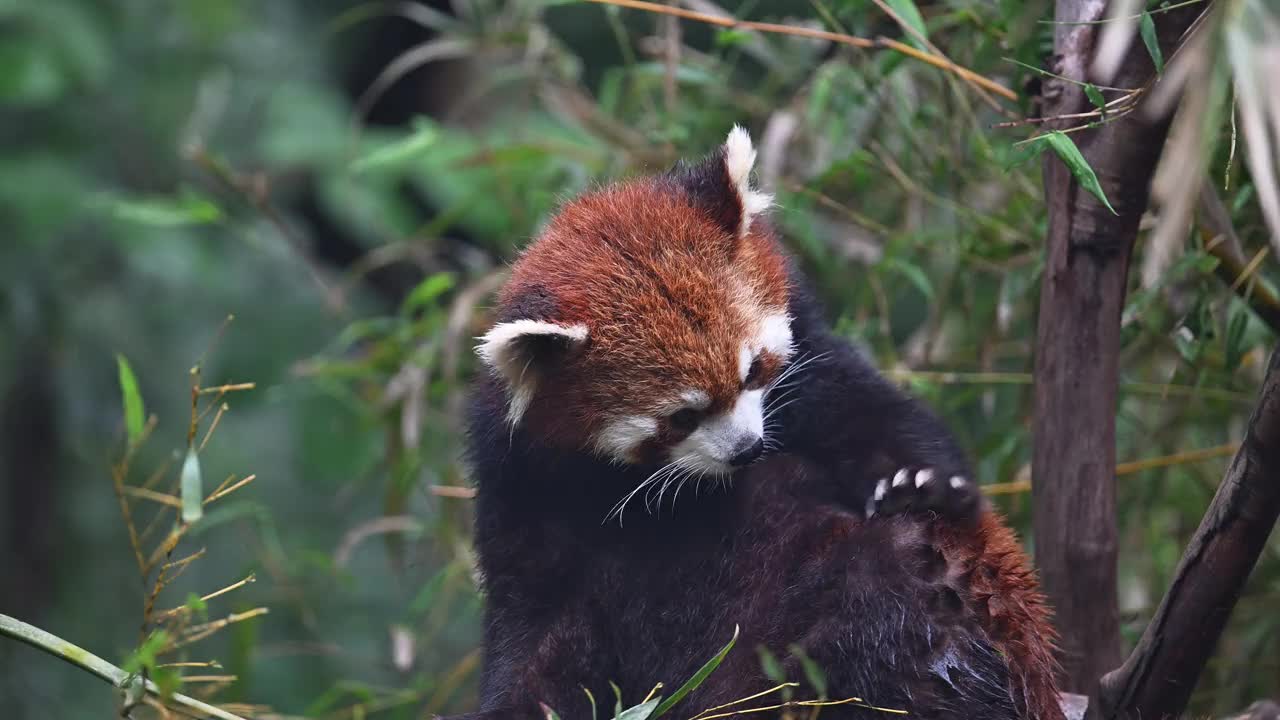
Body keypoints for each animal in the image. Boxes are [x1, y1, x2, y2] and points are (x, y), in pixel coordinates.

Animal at [460, 126, 1059, 712]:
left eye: (752, 371)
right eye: (682, 416)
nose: (746, 449)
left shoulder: (811, 379)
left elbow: (879, 419)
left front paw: (920, 483)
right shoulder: (528, 493)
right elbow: (537, 635)